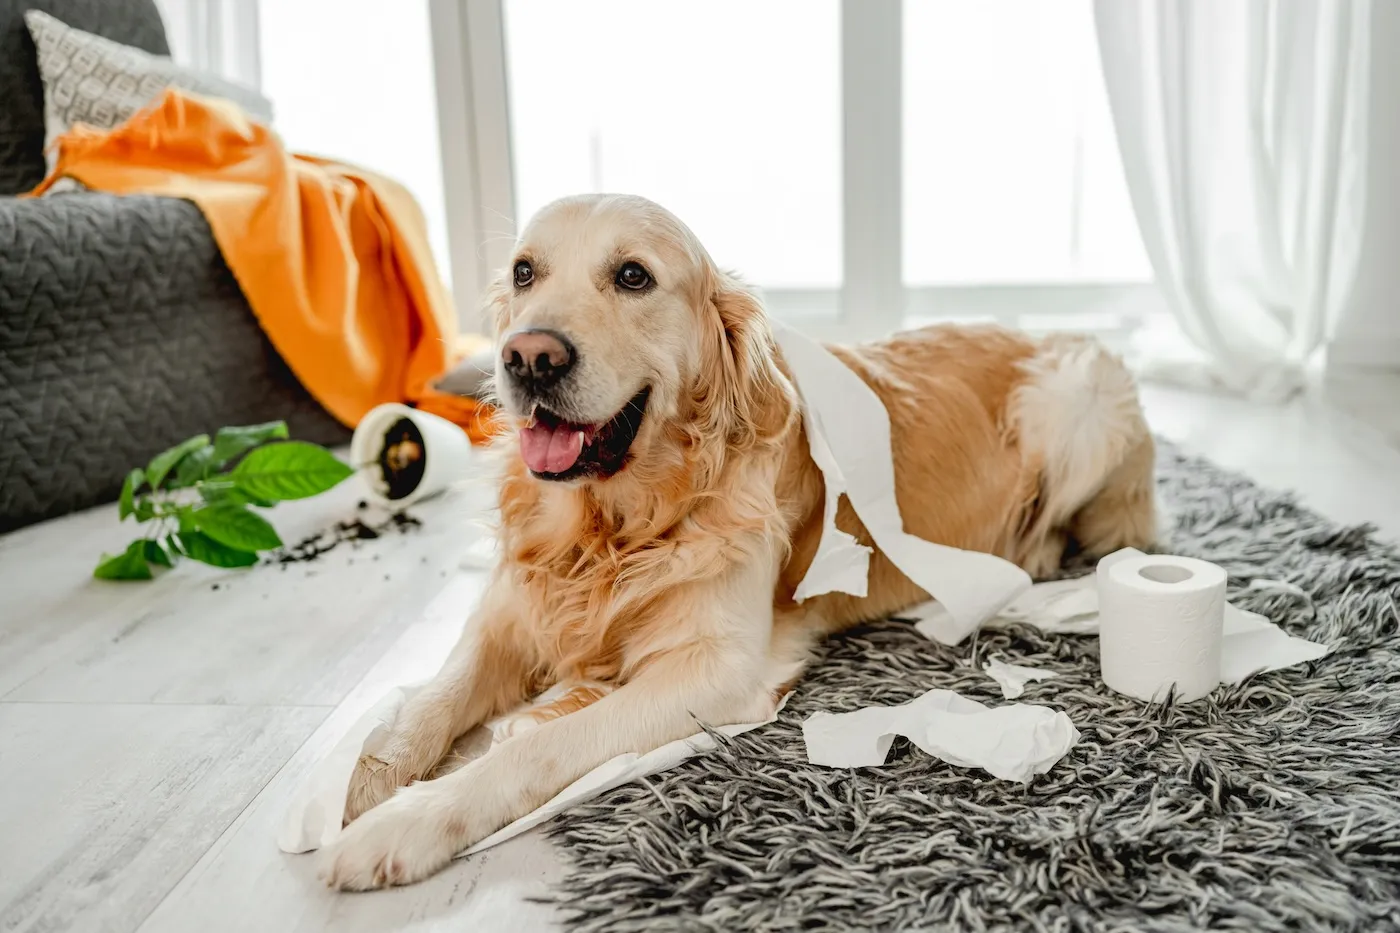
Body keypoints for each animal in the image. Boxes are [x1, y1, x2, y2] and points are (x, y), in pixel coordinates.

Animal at [320, 191, 1159, 885]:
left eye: (632, 275)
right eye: (526, 271)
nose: (528, 355)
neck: (618, 525)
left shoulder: (716, 668)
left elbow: (538, 745)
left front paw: (404, 824)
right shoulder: (509, 609)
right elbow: (436, 692)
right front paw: (366, 776)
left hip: (1081, 399)